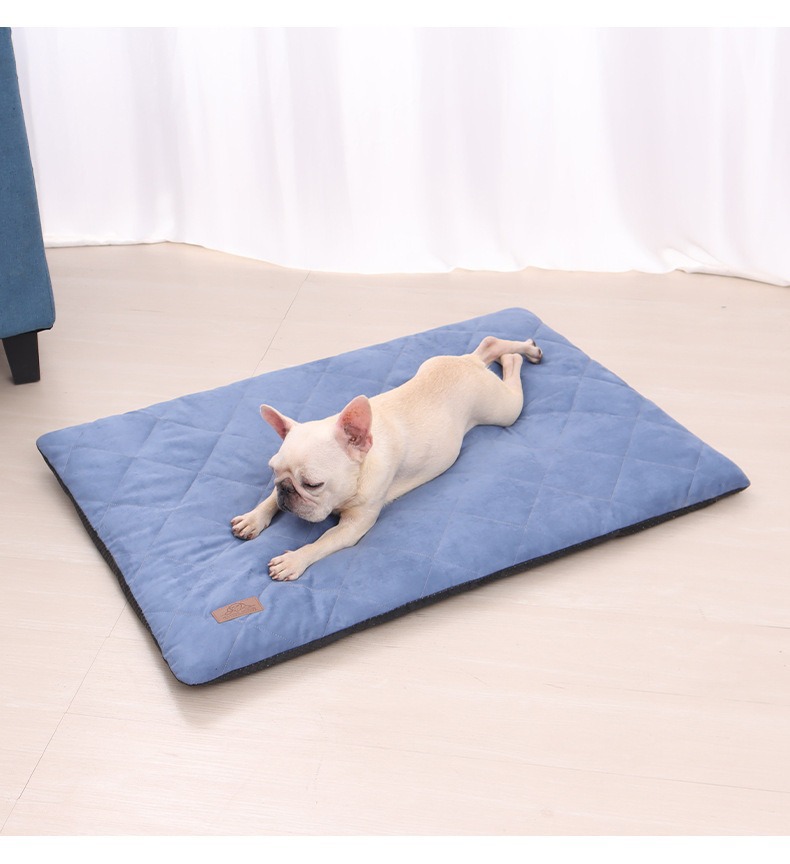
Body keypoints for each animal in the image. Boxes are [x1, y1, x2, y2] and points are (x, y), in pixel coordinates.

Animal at [231, 335, 543, 581]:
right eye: (274, 472)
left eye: (312, 484)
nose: (285, 488)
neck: (362, 466)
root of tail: (471, 364)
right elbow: (271, 500)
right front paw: (254, 517)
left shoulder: (354, 526)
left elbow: (323, 541)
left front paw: (294, 559)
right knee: (489, 343)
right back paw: (521, 349)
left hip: (503, 410)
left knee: (508, 375)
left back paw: (517, 356)